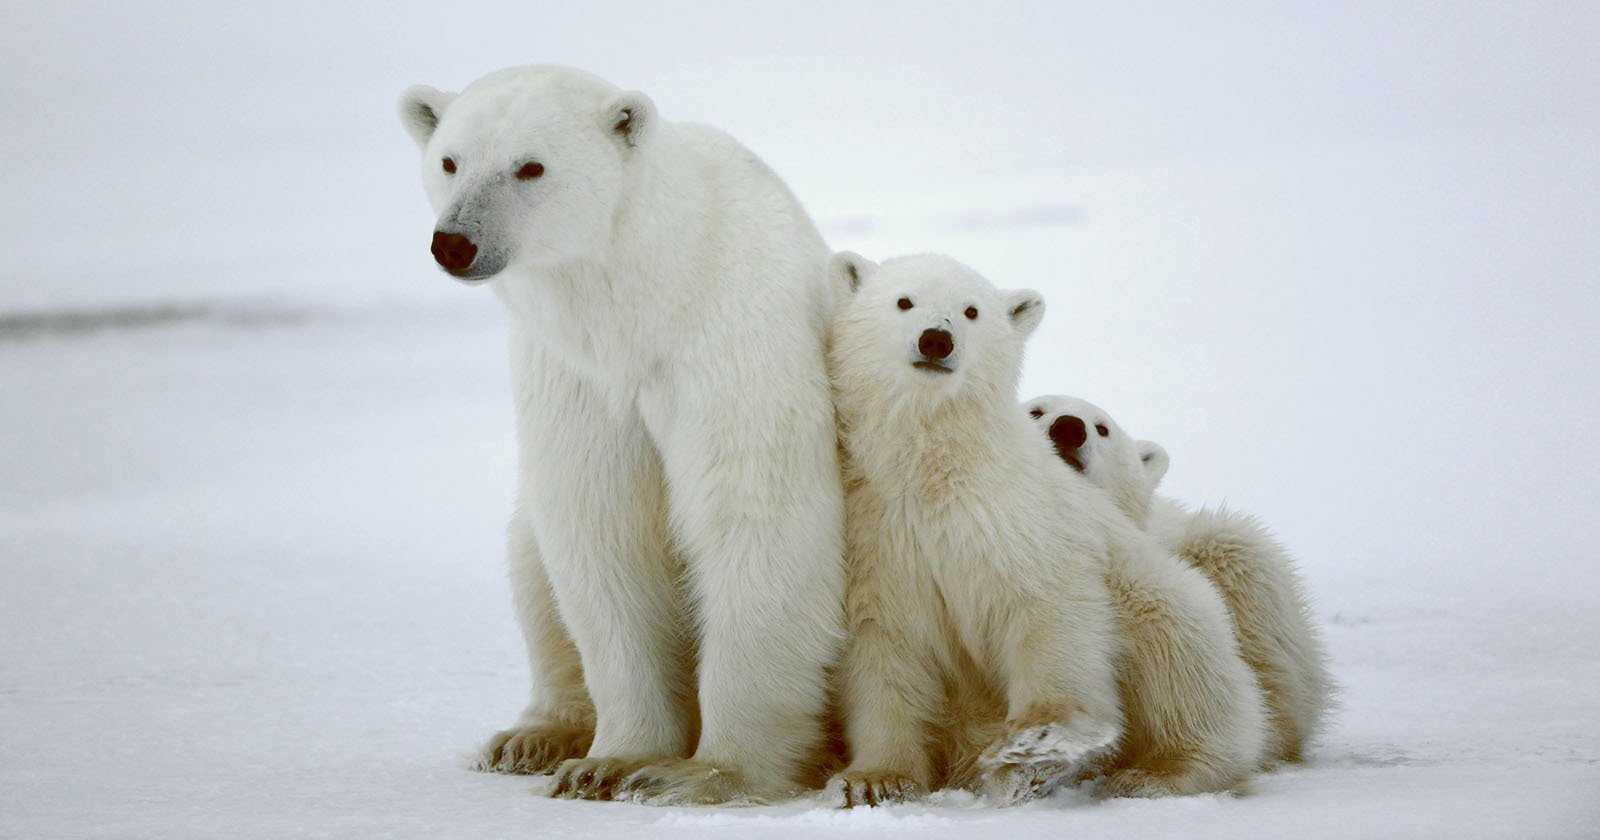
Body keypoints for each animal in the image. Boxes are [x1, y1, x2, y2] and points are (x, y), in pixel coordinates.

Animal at [396, 64, 851, 800]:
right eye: (449, 161)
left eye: (530, 166)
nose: (455, 243)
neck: (648, 298)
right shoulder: (577, 375)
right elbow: (602, 528)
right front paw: (609, 762)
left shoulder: (734, 341)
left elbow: (756, 517)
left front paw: (704, 773)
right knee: (531, 560)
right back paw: (533, 736)